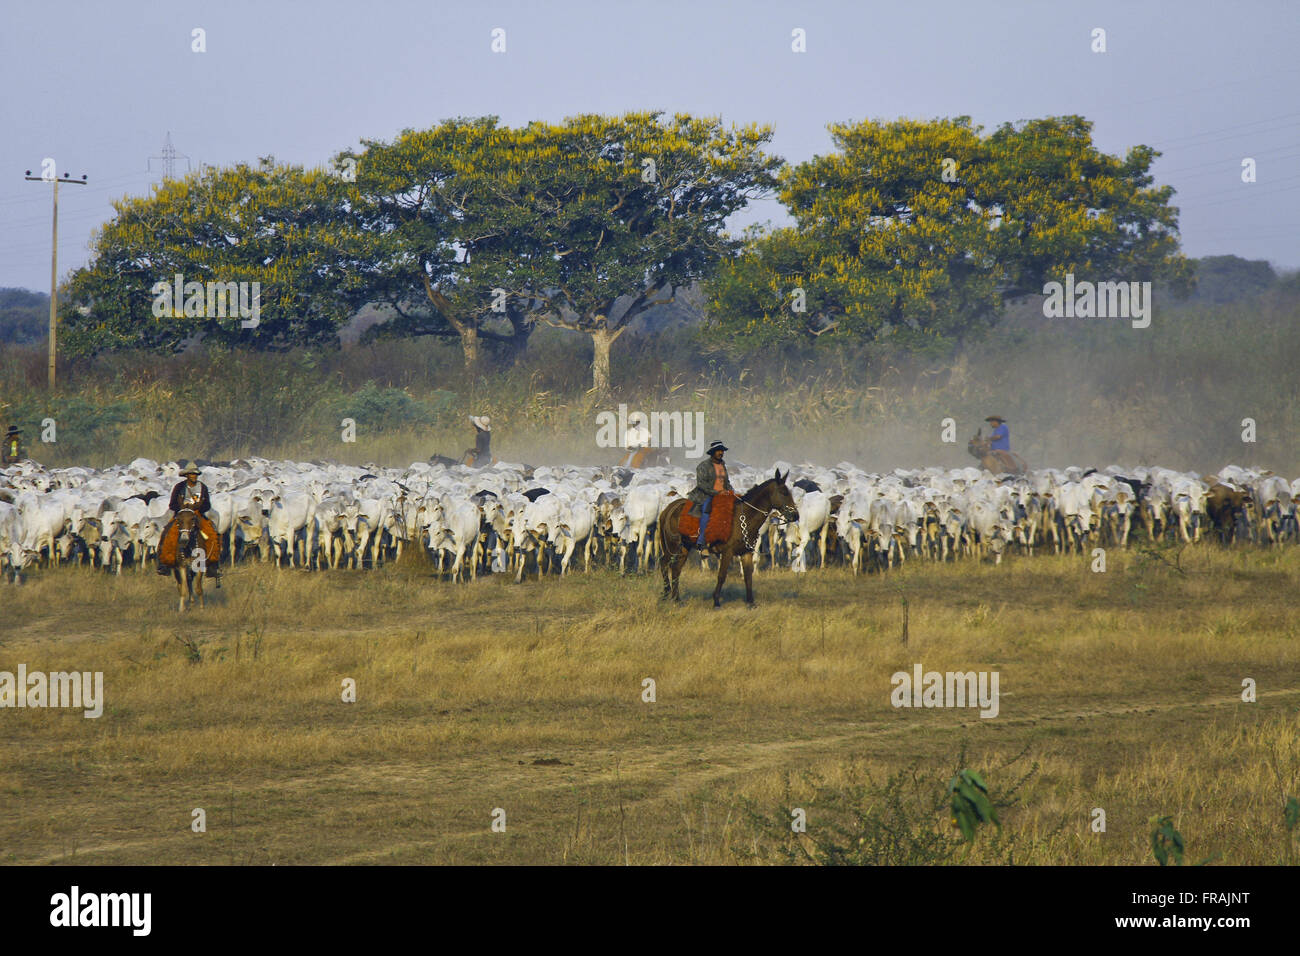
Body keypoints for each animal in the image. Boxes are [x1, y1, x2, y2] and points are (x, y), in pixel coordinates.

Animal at [660, 468, 800, 606]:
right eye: (783, 493)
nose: (796, 515)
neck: (742, 517)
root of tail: (668, 509)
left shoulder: (746, 552)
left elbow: (748, 576)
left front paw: (751, 602)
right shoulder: (727, 552)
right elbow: (722, 575)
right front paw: (716, 601)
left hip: (684, 547)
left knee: (676, 569)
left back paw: (677, 599)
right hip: (672, 547)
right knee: (664, 563)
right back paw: (666, 593)